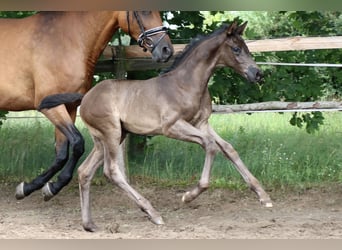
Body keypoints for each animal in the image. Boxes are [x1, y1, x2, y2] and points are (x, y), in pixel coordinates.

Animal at [0, 11, 172, 201]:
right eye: (144, 12)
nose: (166, 50)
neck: (66, 39)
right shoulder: (49, 106)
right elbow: (77, 143)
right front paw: (33, 187)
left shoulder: (69, 107)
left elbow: (62, 152)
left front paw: (45, 187)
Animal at [77, 22, 272, 231]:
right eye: (236, 49)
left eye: (247, 48)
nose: (258, 74)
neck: (186, 84)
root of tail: (85, 99)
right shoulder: (171, 126)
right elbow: (210, 145)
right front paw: (189, 195)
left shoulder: (201, 123)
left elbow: (228, 148)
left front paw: (263, 195)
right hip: (111, 132)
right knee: (111, 170)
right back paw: (153, 213)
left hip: (109, 138)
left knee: (84, 171)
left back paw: (89, 224)